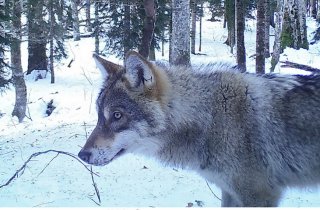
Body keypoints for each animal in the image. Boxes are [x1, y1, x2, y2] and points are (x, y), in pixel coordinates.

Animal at [79, 50, 320, 207]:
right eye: (100, 116)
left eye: (117, 116)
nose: (82, 155)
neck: (212, 117)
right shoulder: (229, 192)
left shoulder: (259, 195)